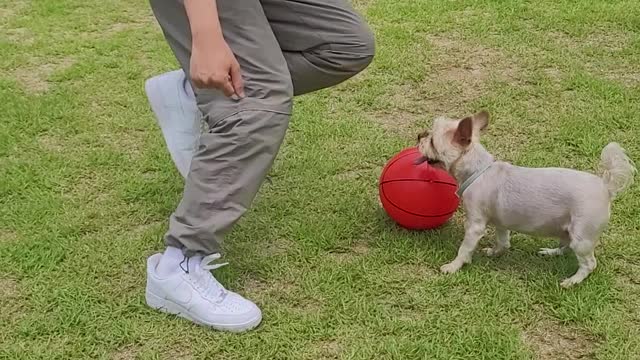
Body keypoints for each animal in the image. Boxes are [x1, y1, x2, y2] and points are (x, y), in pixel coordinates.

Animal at [416, 109, 636, 286]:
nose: (419, 135)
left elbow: (464, 250)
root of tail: (605, 187)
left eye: (432, 142)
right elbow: (503, 242)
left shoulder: (474, 225)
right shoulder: (501, 223)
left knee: (589, 263)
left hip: (581, 237)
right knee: (565, 245)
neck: (478, 171)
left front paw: (453, 266)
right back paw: (550, 253)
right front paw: (495, 252)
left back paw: (572, 281)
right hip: (567, 230)